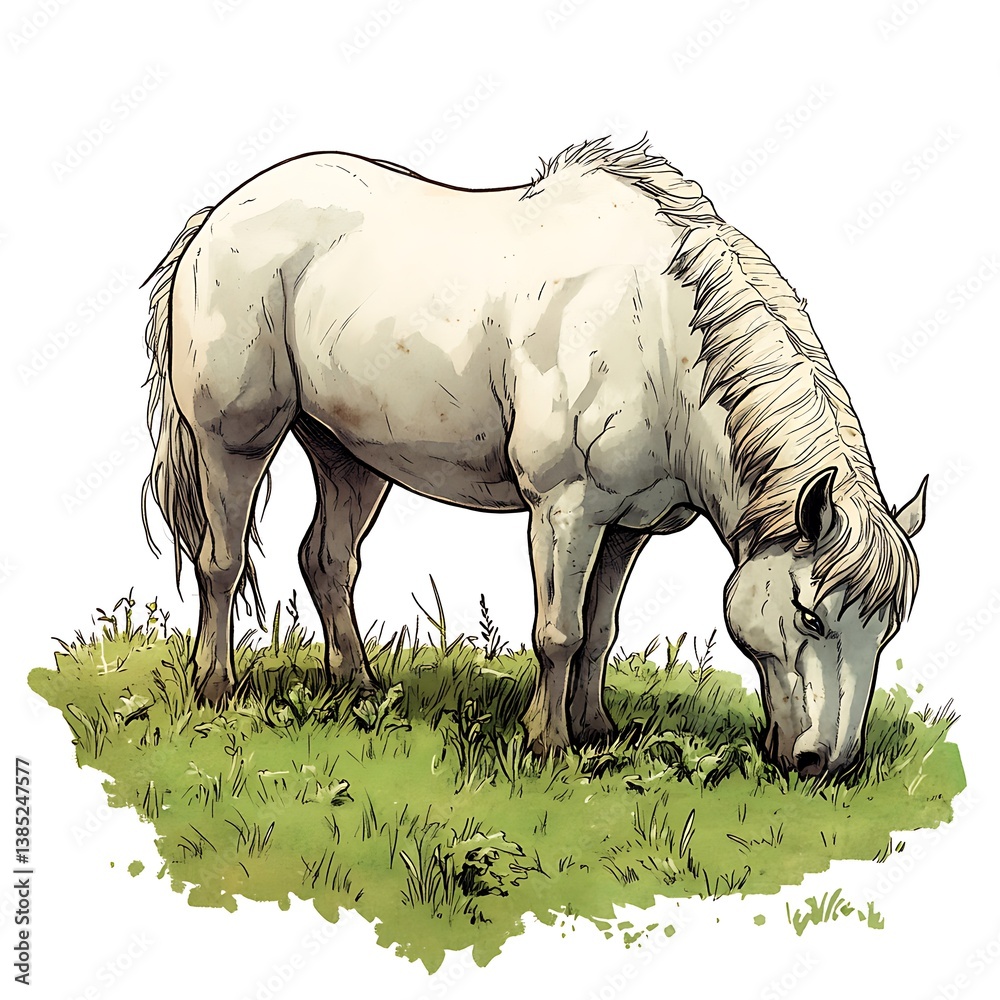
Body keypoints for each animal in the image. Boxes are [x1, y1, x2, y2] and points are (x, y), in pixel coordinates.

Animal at [143, 138, 927, 779]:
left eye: (887, 629)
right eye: (812, 618)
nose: (827, 765)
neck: (659, 331)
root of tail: (219, 215)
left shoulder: (628, 524)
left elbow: (601, 631)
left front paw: (596, 729)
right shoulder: (564, 508)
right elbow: (559, 632)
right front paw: (547, 744)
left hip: (348, 454)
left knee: (327, 560)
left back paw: (357, 687)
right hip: (234, 441)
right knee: (221, 563)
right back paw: (216, 689)